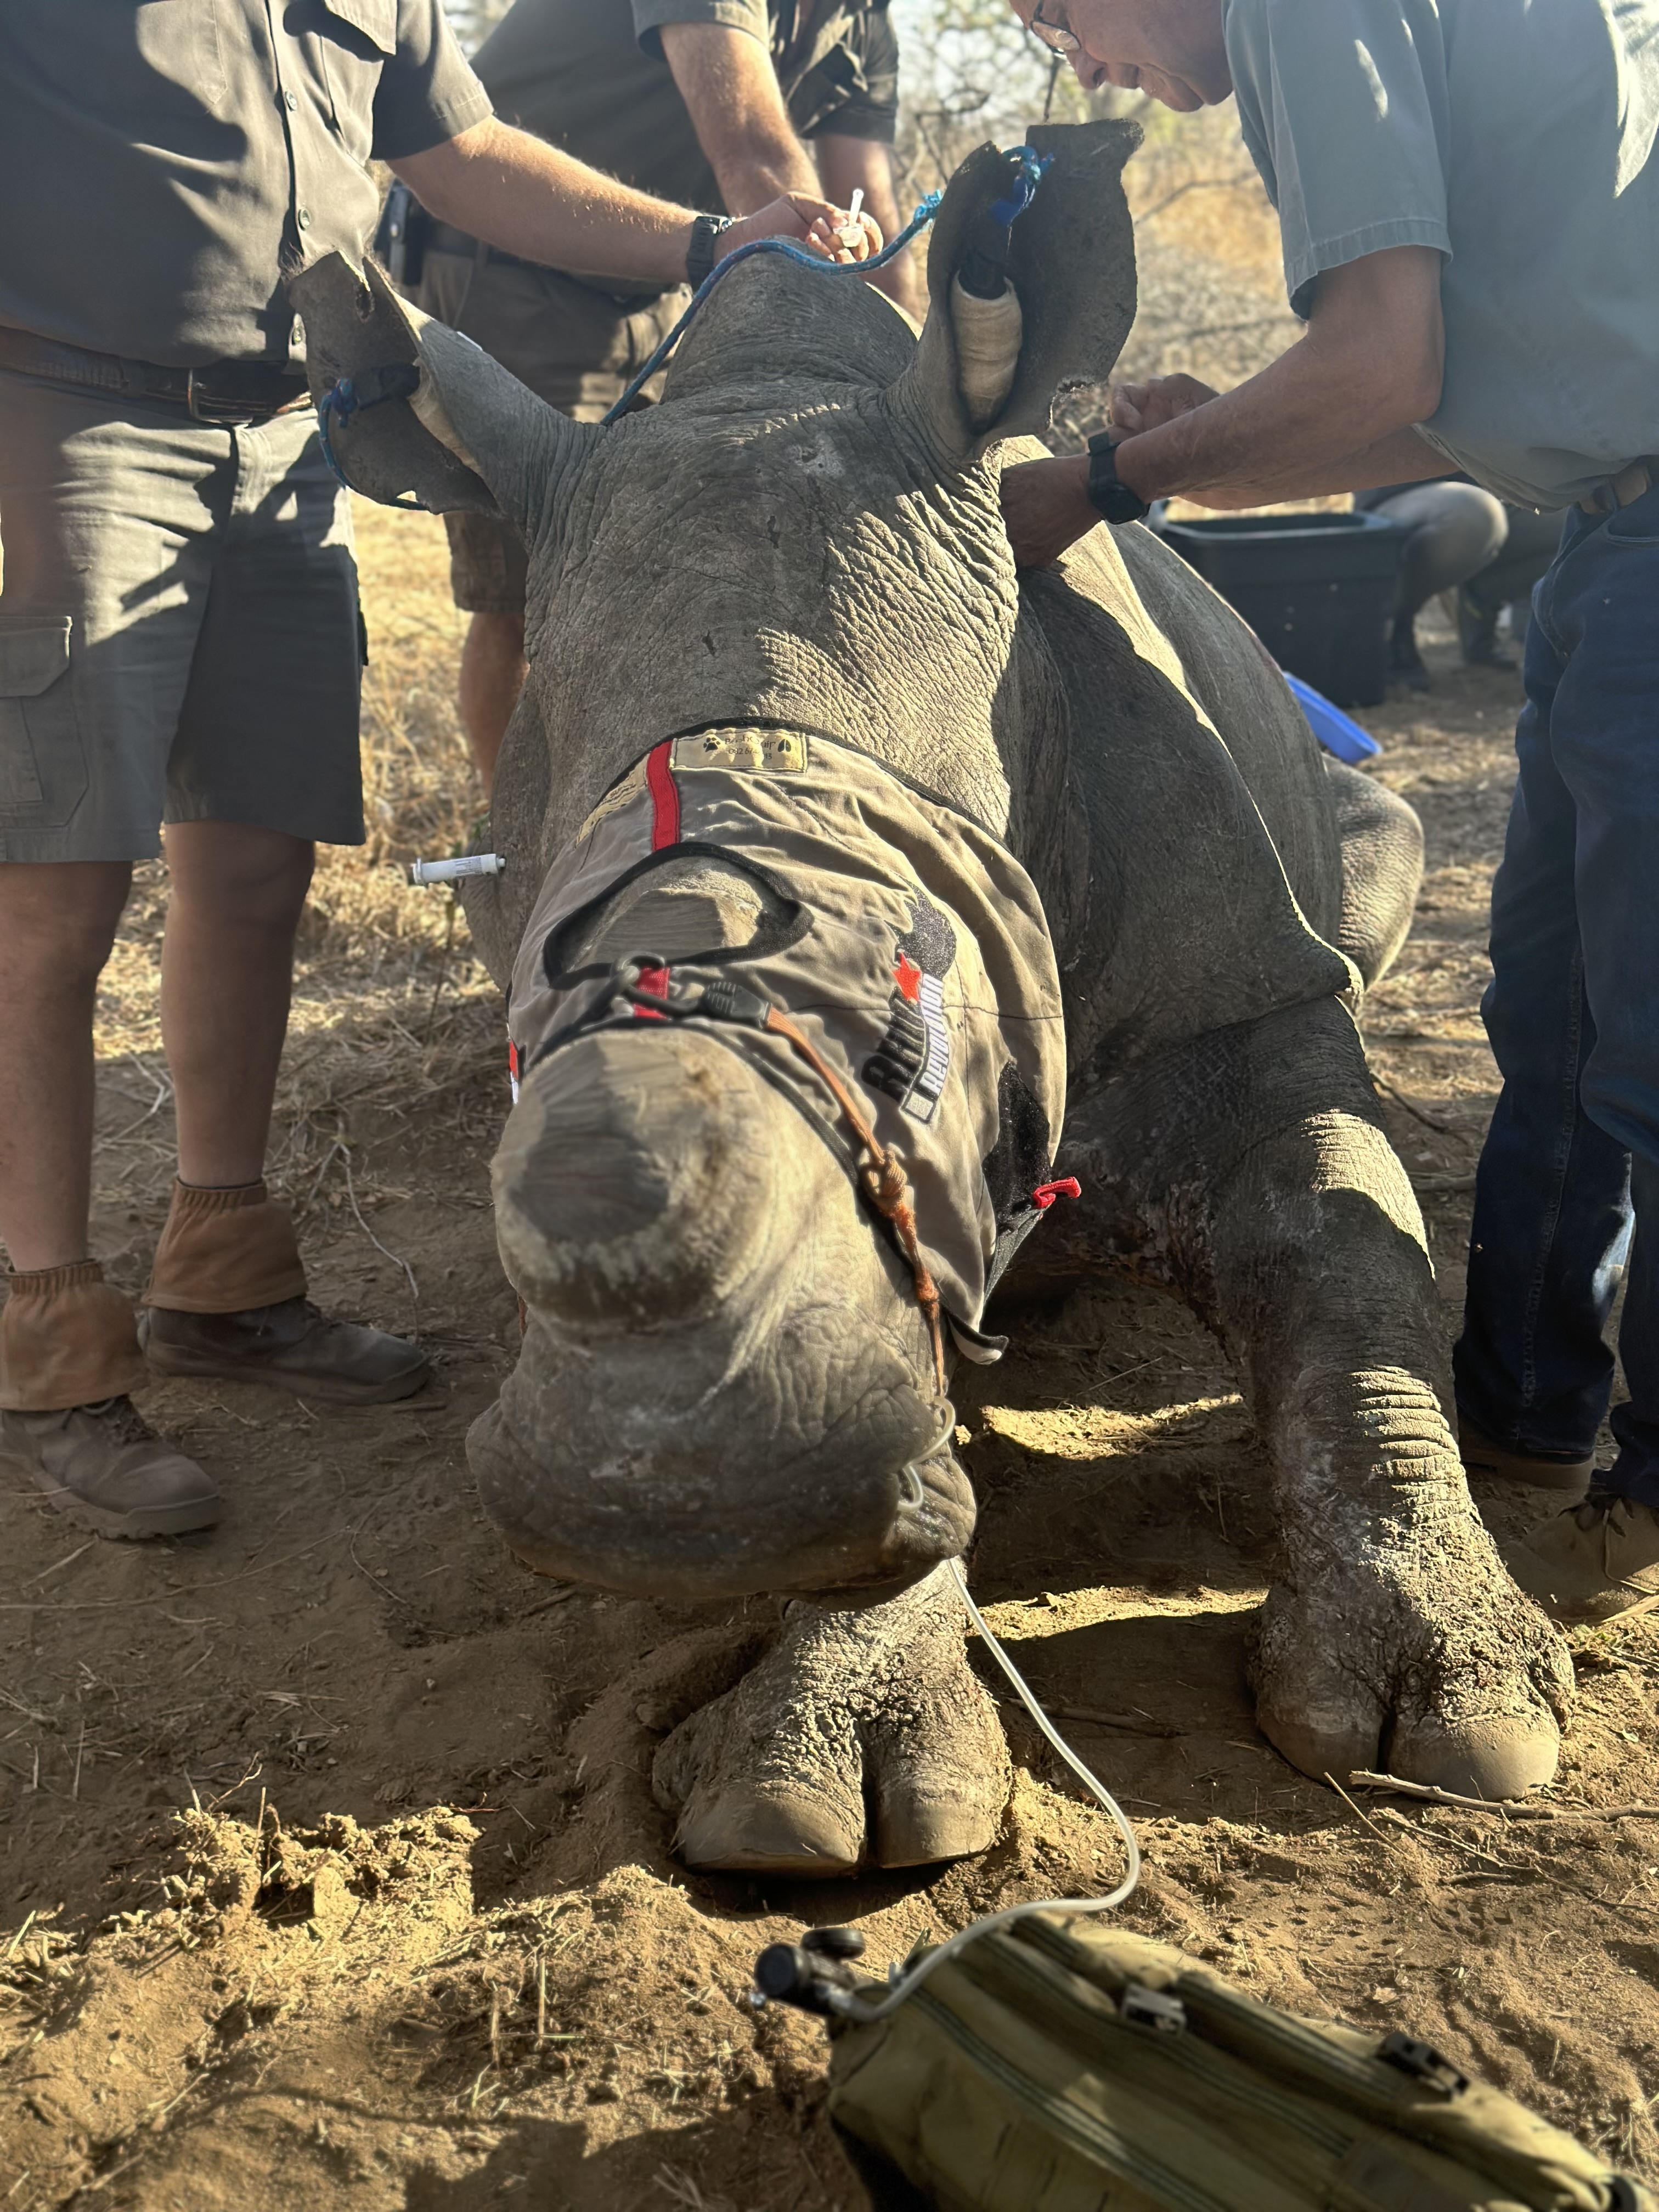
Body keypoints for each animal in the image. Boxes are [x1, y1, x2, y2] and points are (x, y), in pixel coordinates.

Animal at [293, 122, 1572, 1878]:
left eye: (923, 990)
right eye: (534, 1019)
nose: (678, 1485)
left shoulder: (1246, 988)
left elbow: (1348, 1255)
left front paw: (1458, 1726)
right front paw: (804, 1786)